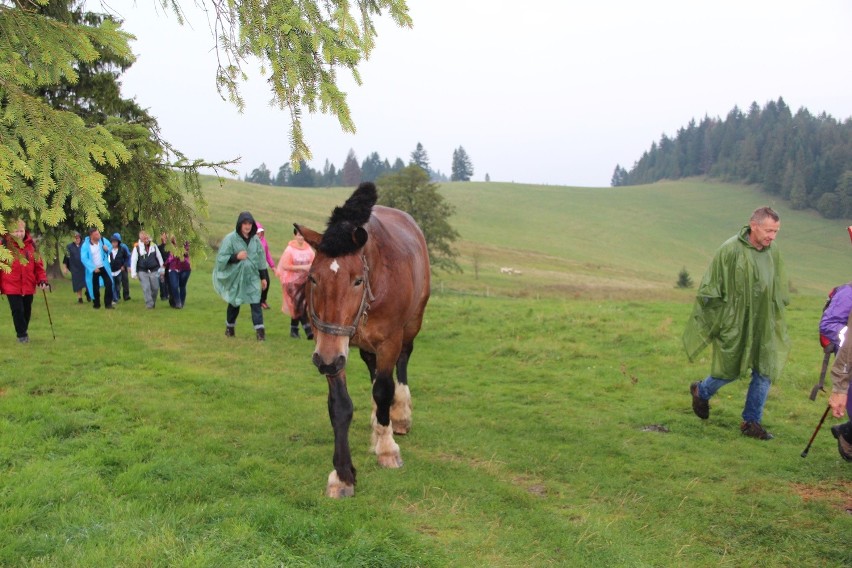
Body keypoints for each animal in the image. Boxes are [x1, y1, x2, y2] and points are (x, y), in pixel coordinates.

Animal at [298, 182, 432, 496]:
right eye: (313, 278)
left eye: (357, 280)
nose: (325, 361)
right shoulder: (332, 347)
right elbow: (340, 405)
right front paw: (343, 474)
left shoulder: (389, 341)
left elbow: (384, 389)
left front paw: (387, 449)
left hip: (412, 324)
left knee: (402, 363)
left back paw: (399, 416)